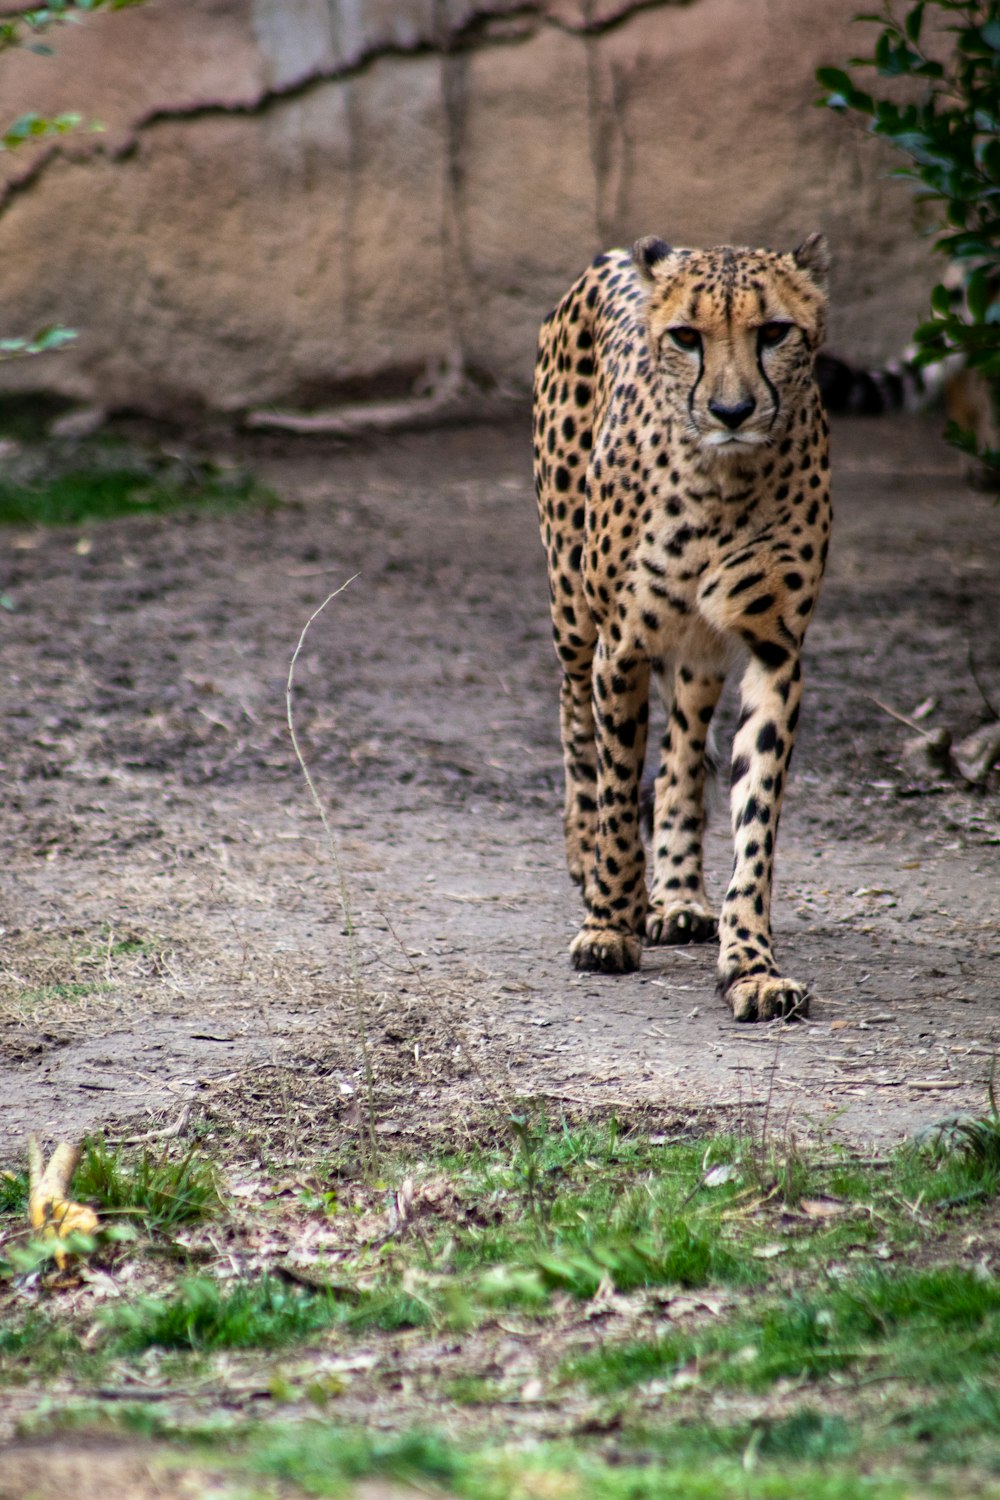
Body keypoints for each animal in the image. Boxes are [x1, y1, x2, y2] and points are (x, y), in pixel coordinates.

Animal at [536, 234, 833, 1026]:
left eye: (774, 331)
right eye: (687, 337)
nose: (732, 409)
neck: (724, 480)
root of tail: (614, 254)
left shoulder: (774, 650)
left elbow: (754, 813)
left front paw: (751, 965)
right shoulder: (623, 646)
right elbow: (615, 789)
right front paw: (608, 924)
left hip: (698, 649)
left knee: (680, 753)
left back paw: (675, 895)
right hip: (572, 608)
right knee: (575, 723)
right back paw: (591, 865)